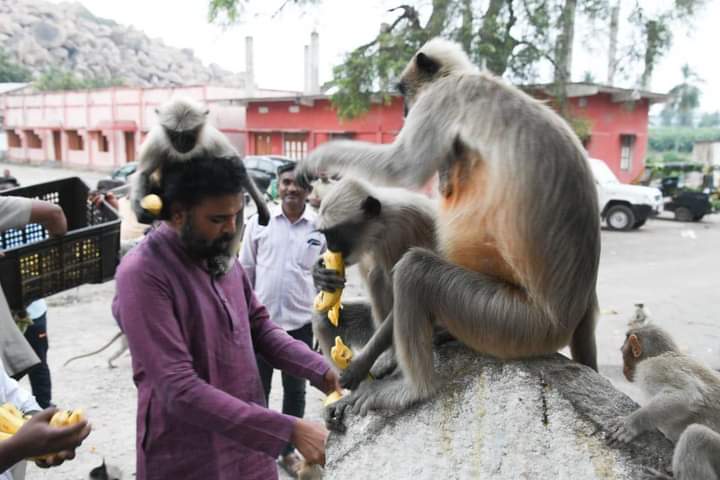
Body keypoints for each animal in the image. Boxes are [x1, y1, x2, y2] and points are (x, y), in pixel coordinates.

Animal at [310, 178, 438, 396]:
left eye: (335, 234)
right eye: (326, 235)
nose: (331, 248)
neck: (383, 218)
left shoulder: (397, 232)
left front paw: (359, 366)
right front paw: (319, 272)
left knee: (379, 275)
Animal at [608, 322, 720, 480]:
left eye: (623, 353)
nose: (623, 370)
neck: (663, 354)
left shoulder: (652, 368)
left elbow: (687, 395)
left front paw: (631, 423)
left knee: (696, 436)